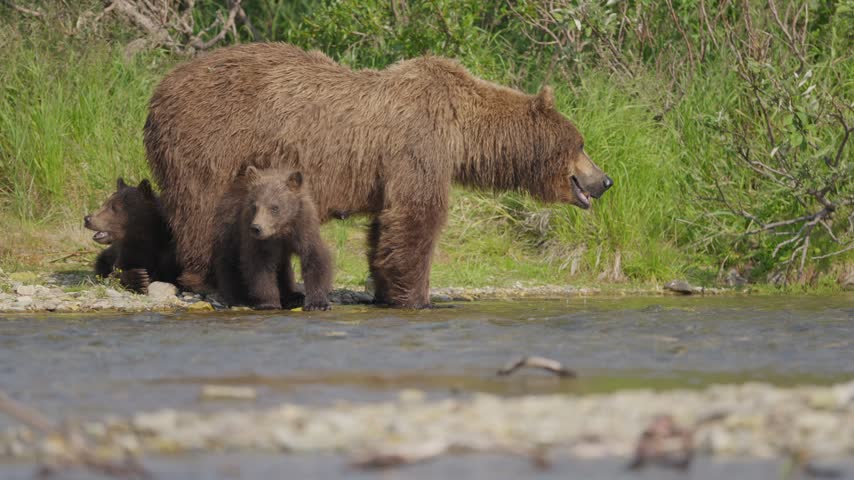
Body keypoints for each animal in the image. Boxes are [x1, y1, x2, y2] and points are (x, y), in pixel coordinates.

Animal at [213, 166, 332, 311]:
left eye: (274, 208)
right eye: (254, 206)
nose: (257, 228)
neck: (281, 230)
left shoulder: (303, 229)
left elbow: (315, 258)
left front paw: (318, 304)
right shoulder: (259, 241)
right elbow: (260, 267)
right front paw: (268, 303)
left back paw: (294, 297)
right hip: (230, 232)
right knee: (229, 264)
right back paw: (239, 297)